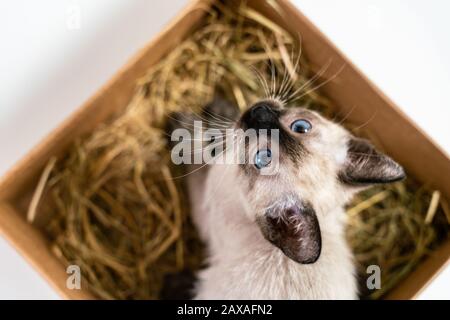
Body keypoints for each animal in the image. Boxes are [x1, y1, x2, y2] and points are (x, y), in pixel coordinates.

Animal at [168, 98, 404, 300]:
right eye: (301, 127)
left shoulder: (205, 211)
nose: (258, 114)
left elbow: (197, 159)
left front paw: (180, 128)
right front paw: (222, 107)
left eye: (263, 159)